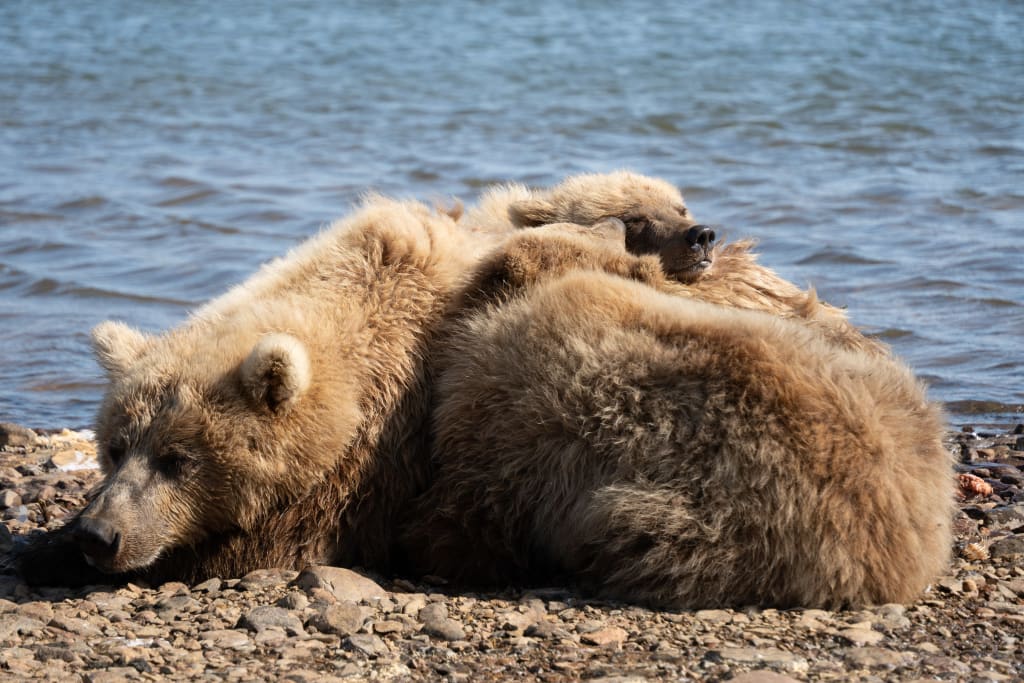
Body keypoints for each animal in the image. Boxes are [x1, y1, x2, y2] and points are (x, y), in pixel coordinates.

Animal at [16, 196, 488, 585]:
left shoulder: (377, 460)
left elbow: (269, 546)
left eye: (176, 459)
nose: (99, 534)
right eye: (116, 448)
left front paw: (46, 554)